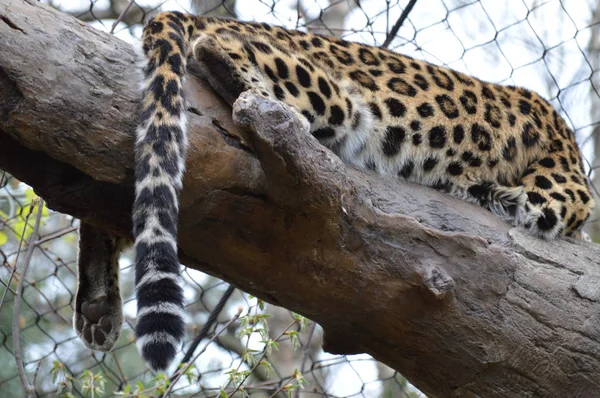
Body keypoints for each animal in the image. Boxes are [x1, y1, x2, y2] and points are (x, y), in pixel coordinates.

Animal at [72, 11, 592, 374]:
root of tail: (218, 17)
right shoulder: (559, 197)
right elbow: (541, 210)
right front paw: (490, 193)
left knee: (108, 201)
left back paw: (97, 303)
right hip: (335, 96)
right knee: (217, 50)